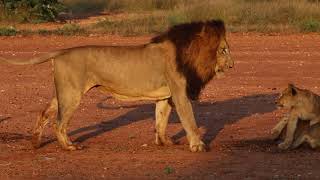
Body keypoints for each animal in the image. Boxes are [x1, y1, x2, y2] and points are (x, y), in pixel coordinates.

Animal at [1, 19, 234, 152]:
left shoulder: (165, 96)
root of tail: (62, 51)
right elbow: (190, 120)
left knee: (44, 114)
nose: (232, 65)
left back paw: (35, 143)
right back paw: (69, 147)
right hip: (72, 94)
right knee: (59, 123)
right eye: (223, 50)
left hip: (63, 93)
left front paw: (164, 142)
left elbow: (161, 120)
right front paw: (198, 146)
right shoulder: (179, 93)